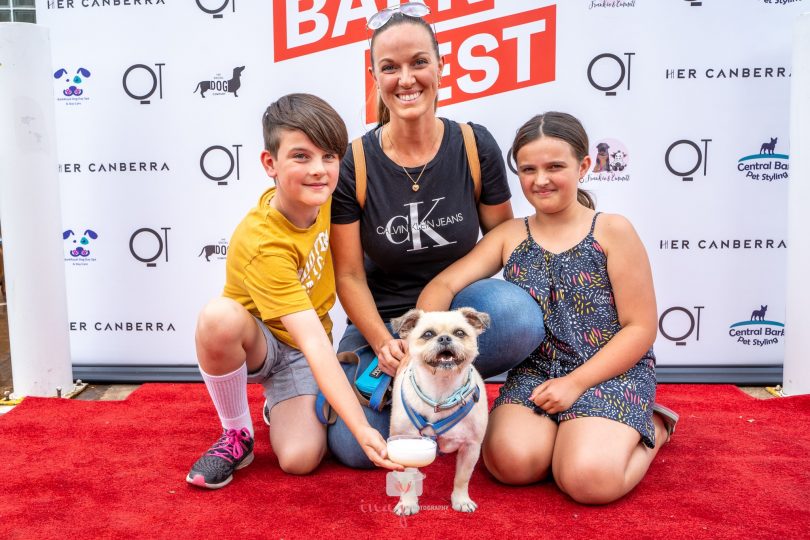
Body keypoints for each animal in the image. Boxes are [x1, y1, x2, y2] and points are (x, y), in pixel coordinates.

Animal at [388, 308, 490, 516]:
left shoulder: (471, 447)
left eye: (460, 333)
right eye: (428, 334)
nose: (444, 338)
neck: (441, 392)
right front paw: (407, 503)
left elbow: (462, 478)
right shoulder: (405, 444)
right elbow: (407, 477)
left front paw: (461, 500)